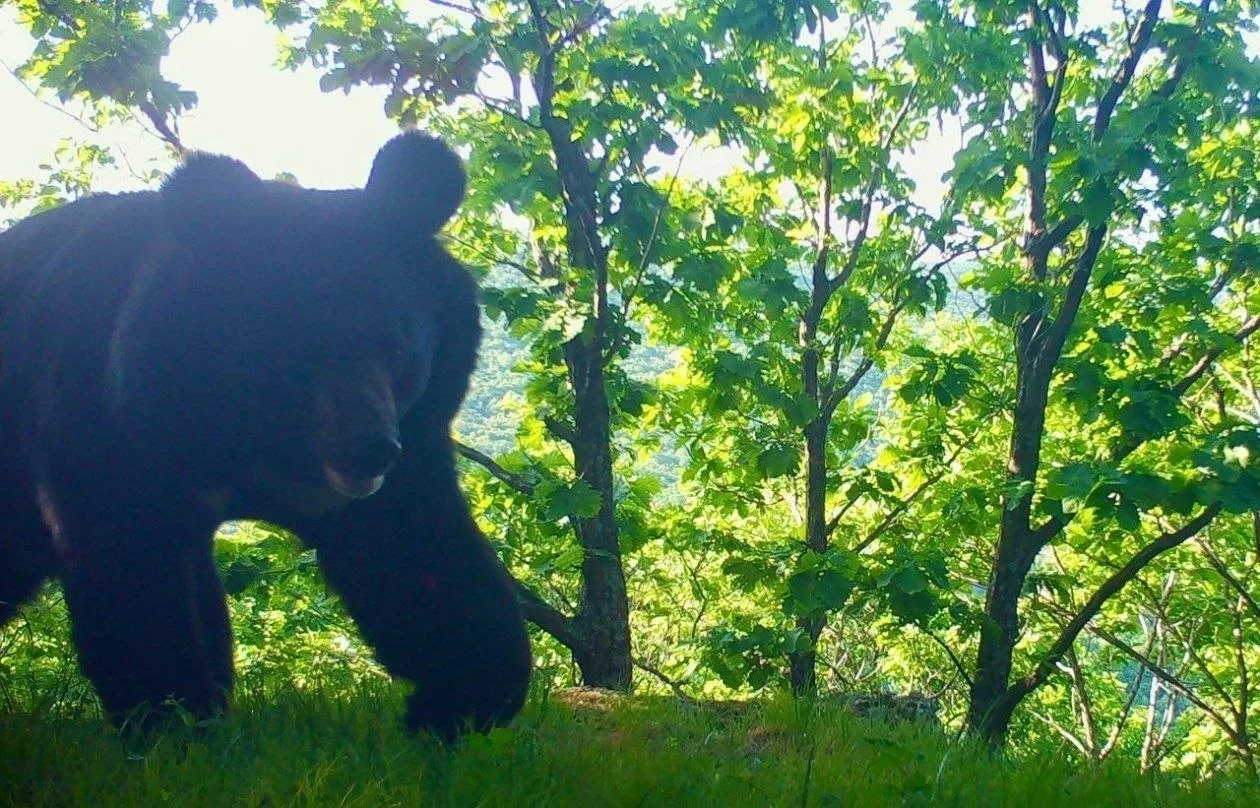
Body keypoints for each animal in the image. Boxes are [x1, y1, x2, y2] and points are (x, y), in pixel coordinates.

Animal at [0, 132, 531, 740]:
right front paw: (173, 717)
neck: (256, 439)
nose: (368, 448)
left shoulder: (409, 437)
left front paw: (454, 701)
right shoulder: (108, 417)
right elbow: (131, 560)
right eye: (294, 348)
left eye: (396, 344)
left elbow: (416, 551)